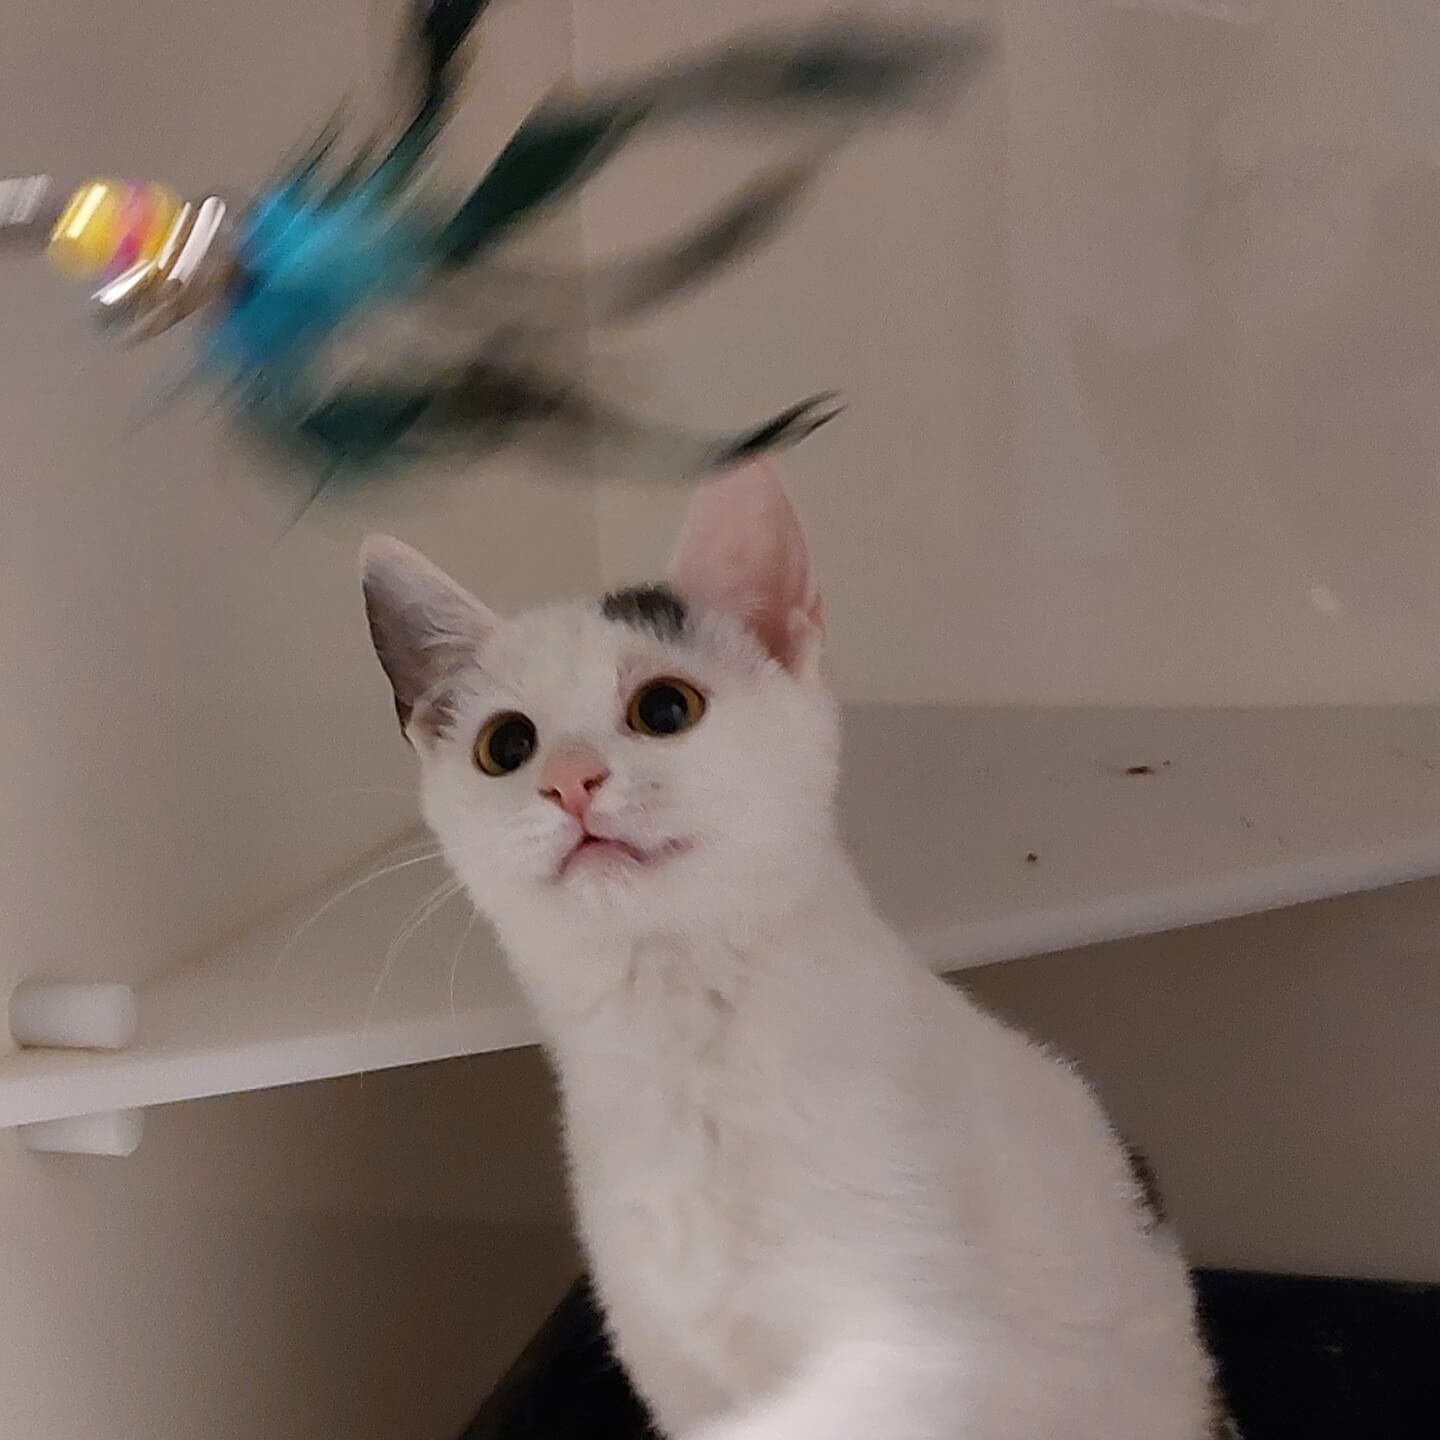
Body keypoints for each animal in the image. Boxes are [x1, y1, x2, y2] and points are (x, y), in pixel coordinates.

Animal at [360, 461, 1223, 1440]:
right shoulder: (671, 1363)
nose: (570, 781)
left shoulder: (923, 1346)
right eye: (506, 745)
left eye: (665, 708)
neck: (680, 1033)